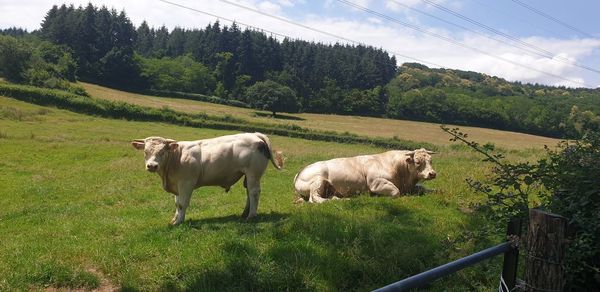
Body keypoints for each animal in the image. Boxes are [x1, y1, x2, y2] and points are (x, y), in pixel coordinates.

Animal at [131, 133, 282, 225]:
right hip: (248, 175)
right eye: (145, 152)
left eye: (162, 152)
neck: (176, 157)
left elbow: (182, 204)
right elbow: (177, 203)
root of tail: (254, 134)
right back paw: (244, 214)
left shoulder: (186, 183)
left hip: (253, 173)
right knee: (249, 193)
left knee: (254, 192)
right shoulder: (177, 185)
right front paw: (174, 219)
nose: (152, 166)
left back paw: (251, 216)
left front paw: (179, 222)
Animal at [294, 148, 436, 203]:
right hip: (318, 180)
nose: (432, 173)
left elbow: (424, 188)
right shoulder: (376, 183)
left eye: (430, 160)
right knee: (315, 199)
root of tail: (300, 172)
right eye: (418, 162)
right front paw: (375, 196)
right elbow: (396, 192)